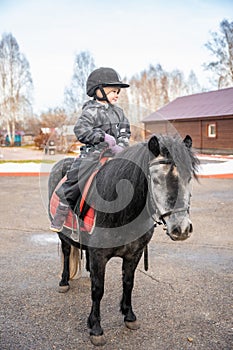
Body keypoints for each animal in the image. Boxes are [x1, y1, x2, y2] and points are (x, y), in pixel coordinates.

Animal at [47, 135, 198, 348]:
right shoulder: (99, 256)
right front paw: (95, 327)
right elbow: (98, 290)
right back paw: (64, 281)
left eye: (189, 177)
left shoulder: (134, 253)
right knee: (67, 252)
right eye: (156, 180)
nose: (182, 228)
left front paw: (129, 316)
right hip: (62, 234)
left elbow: (128, 283)